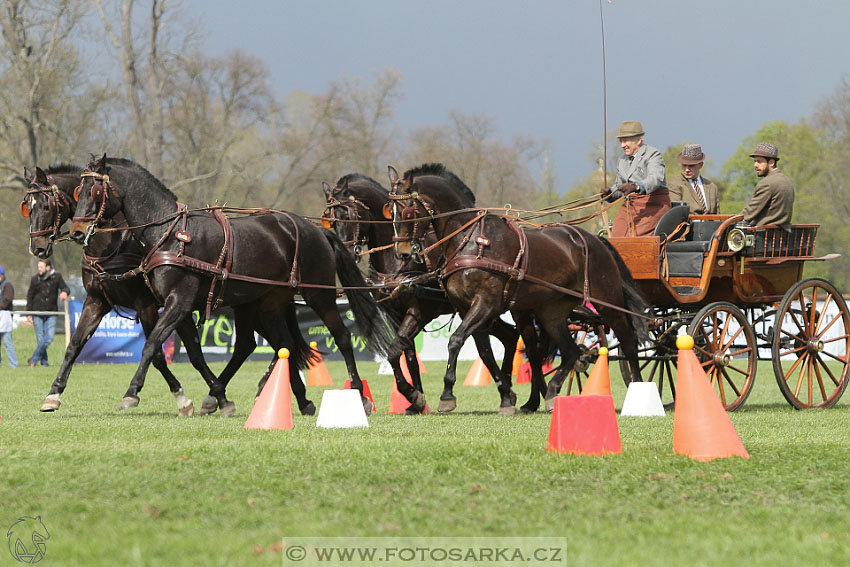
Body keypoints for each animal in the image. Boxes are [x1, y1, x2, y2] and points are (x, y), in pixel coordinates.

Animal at [22, 166, 220, 414]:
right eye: (27, 207)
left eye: (47, 205)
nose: (37, 248)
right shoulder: (96, 301)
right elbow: (74, 345)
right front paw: (53, 394)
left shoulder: (145, 305)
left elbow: (156, 354)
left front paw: (175, 397)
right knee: (196, 354)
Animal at [320, 171, 516, 414]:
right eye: (331, 220)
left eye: (350, 215)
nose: (345, 253)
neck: (397, 262)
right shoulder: (394, 314)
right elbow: (408, 354)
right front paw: (416, 399)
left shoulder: (419, 311)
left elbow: (395, 351)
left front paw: (414, 395)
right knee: (509, 336)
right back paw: (510, 390)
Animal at [388, 164, 644, 412]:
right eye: (390, 212)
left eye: (408, 212)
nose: (402, 253)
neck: (471, 241)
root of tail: (595, 239)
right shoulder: (464, 307)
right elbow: (483, 351)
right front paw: (505, 395)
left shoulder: (485, 303)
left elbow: (456, 341)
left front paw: (447, 395)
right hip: (551, 313)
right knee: (570, 352)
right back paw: (549, 395)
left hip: (608, 302)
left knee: (629, 343)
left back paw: (638, 391)